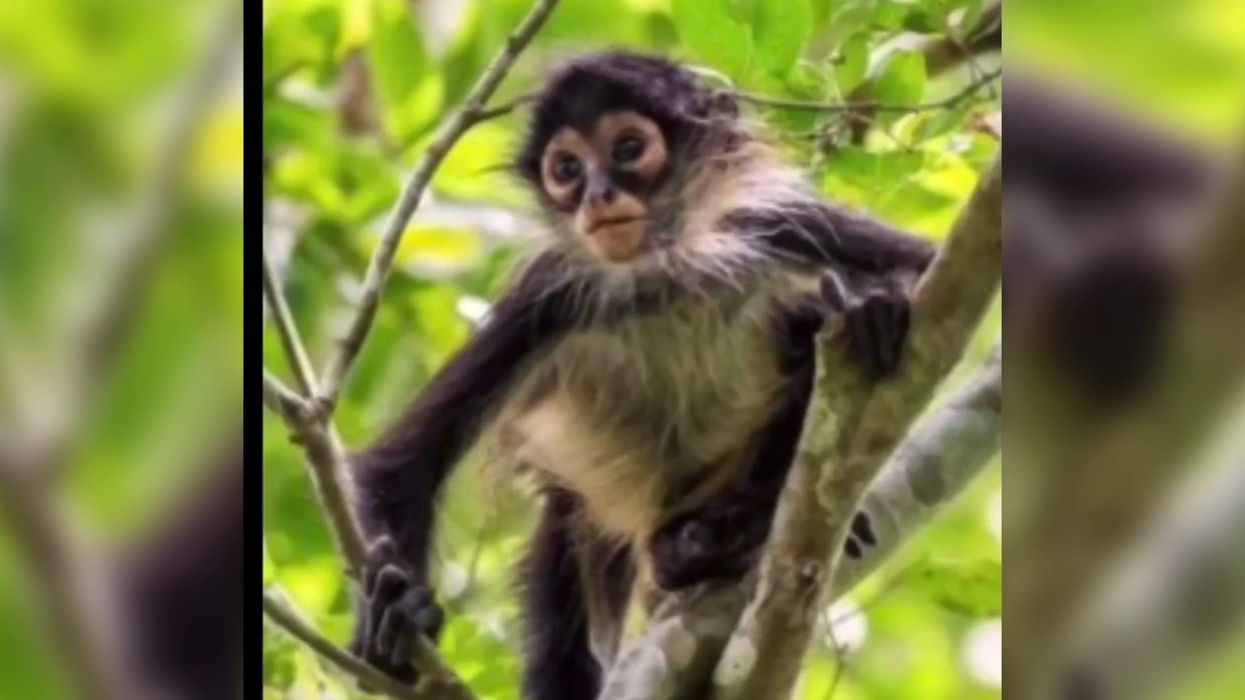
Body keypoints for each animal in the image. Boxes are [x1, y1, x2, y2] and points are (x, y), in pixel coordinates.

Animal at [348, 51, 937, 699]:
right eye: (567, 169)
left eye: (628, 148)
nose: (598, 194)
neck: (662, 276)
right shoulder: (547, 299)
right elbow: (403, 464)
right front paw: (396, 621)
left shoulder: (772, 224)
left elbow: (930, 271)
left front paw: (875, 305)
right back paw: (695, 550)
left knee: (804, 324)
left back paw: (729, 531)